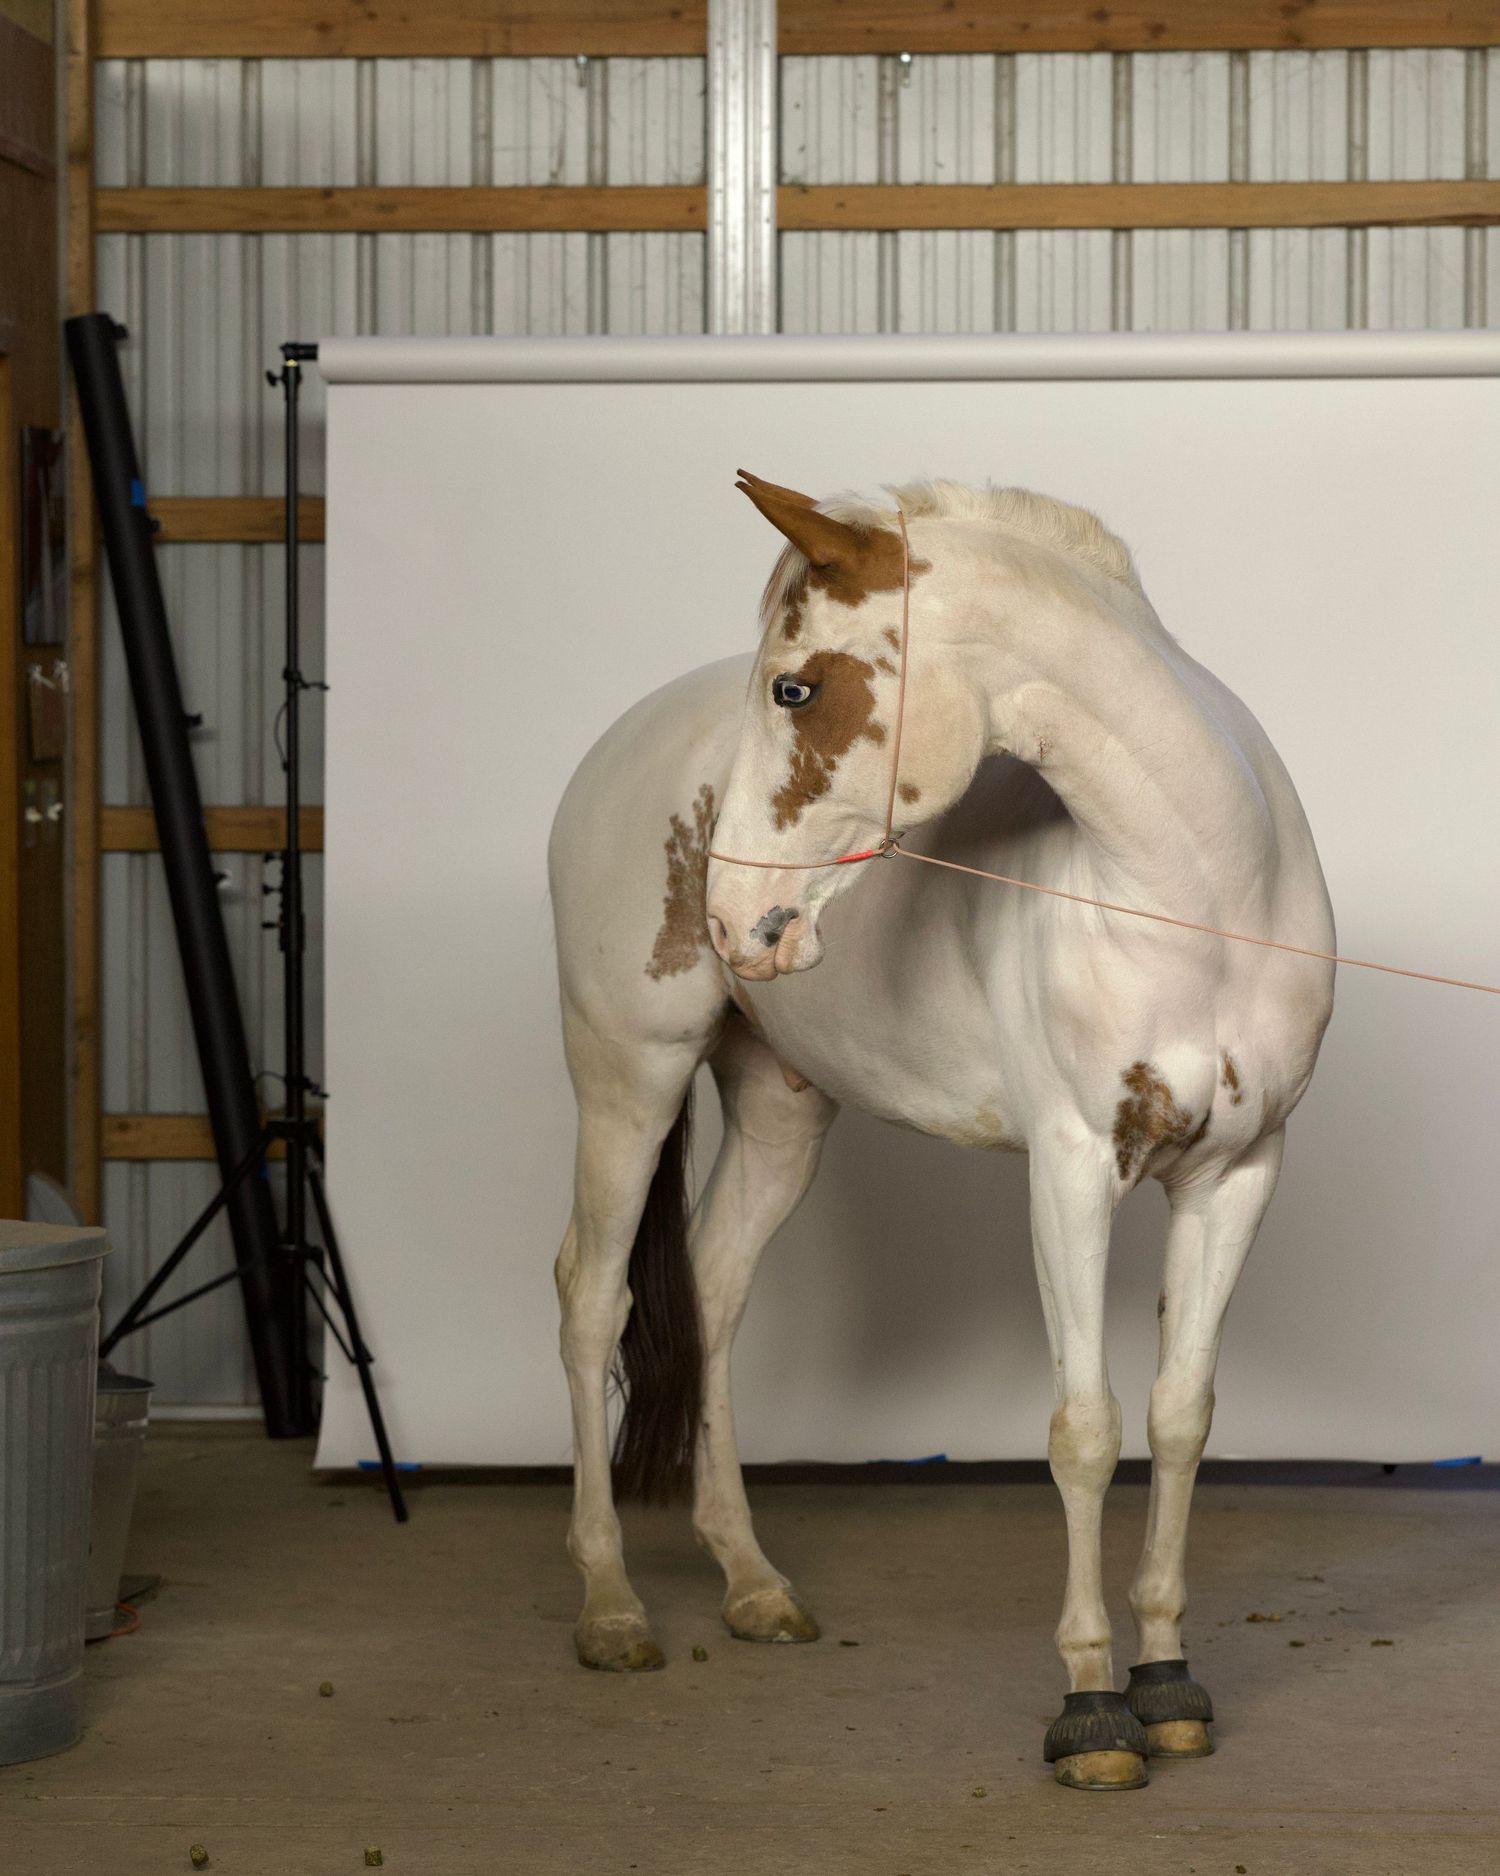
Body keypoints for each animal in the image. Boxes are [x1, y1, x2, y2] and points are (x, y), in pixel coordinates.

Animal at [548, 471, 1335, 1791]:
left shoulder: (1237, 1175)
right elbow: (1085, 1430)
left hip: (780, 1108)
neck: (1200, 900)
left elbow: (1180, 1419)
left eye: (795, 688)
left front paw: (1169, 1683)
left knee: (711, 1290)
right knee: (593, 1297)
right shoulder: (1071, 1173)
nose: (730, 914)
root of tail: (608, 752)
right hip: (628, 1081)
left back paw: (752, 1585)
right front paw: (1091, 1708)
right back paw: (610, 1607)